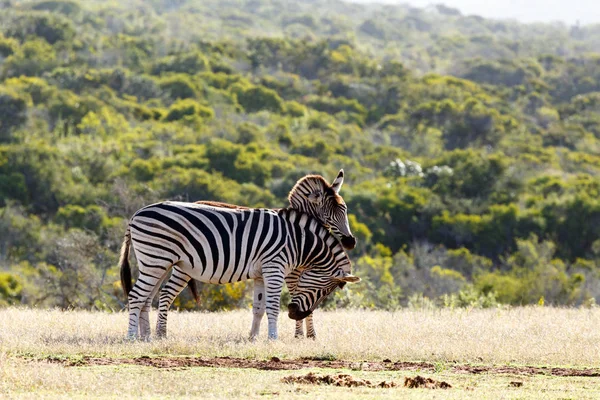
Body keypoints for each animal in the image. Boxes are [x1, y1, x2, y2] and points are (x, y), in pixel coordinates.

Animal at [140, 170, 356, 340]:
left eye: (344, 210)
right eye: (329, 214)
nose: (350, 242)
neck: (298, 238)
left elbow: (264, 306)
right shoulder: (286, 272)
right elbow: (293, 300)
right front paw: (300, 335)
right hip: (179, 266)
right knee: (165, 293)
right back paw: (159, 334)